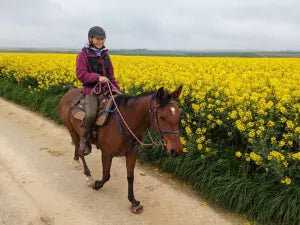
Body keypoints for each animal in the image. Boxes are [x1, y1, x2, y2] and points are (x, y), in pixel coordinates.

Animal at [57, 84, 182, 213]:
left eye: (179, 115)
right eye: (162, 117)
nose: (176, 151)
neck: (125, 122)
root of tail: (70, 91)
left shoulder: (132, 154)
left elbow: (130, 177)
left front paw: (133, 201)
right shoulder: (107, 153)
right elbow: (106, 175)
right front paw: (96, 185)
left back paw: (76, 160)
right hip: (72, 130)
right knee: (80, 149)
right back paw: (88, 175)